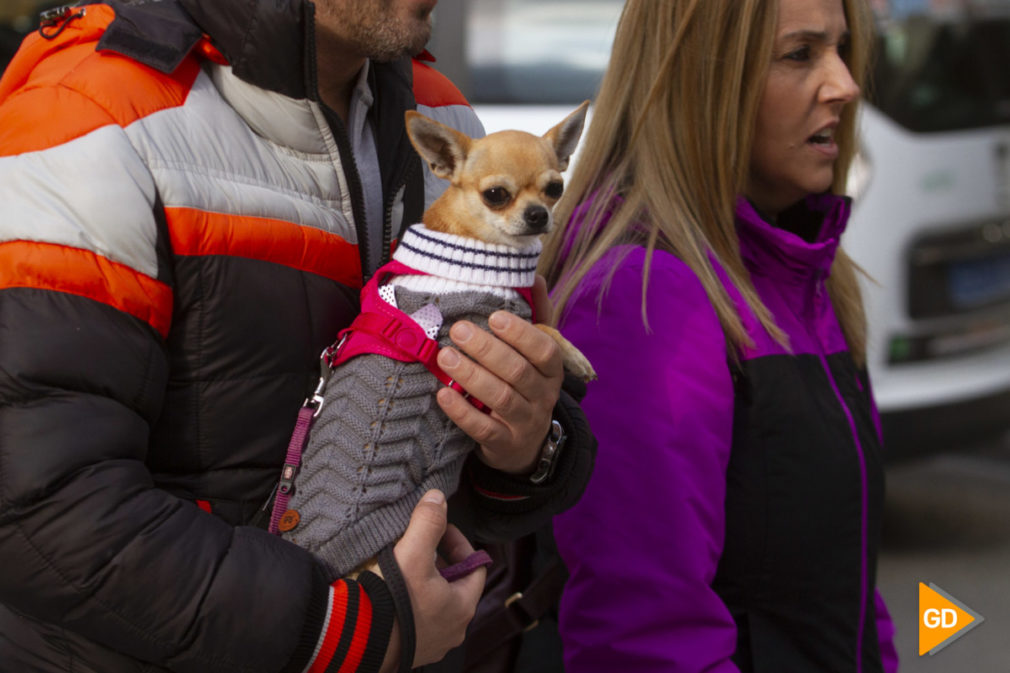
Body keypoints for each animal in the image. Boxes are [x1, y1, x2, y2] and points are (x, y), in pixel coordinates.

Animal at [272, 102, 593, 578]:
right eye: (496, 194)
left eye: (555, 188)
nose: (539, 214)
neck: (471, 250)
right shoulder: (480, 327)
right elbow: (544, 330)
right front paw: (573, 354)